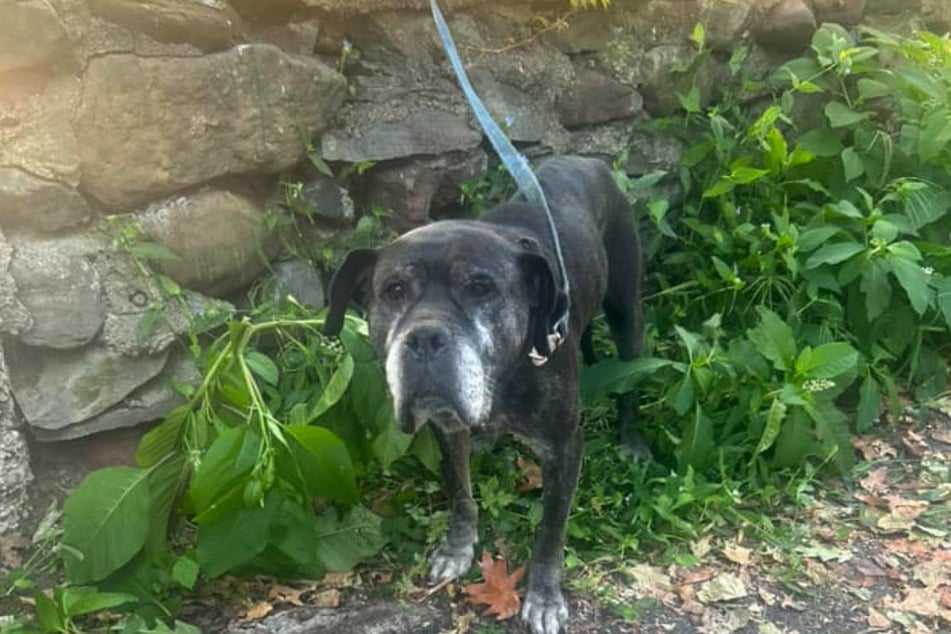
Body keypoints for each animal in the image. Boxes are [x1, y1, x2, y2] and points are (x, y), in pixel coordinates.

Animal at [324, 156, 644, 632]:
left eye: (480, 288)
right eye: (394, 291)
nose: (425, 338)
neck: (504, 376)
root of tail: (589, 160)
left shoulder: (565, 448)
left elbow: (551, 531)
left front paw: (544, 595)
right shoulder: (447, 429)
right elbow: (460, 491)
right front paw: (457, 548)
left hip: (627, 309)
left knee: (631, 381)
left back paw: (632, 439)